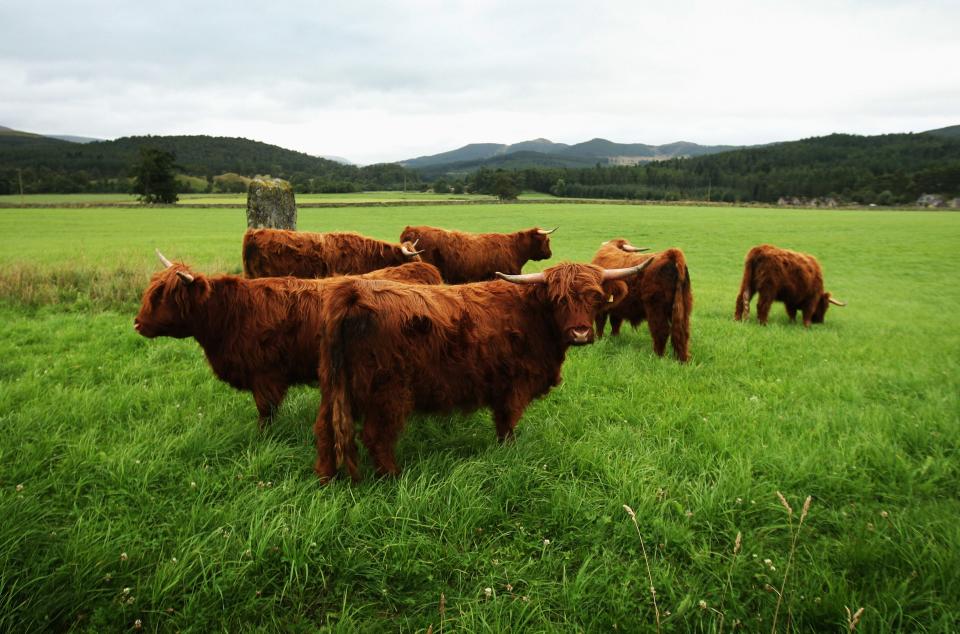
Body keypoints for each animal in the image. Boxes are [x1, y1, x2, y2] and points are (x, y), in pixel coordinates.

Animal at [135, 249, 442, 428]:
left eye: (163, 296)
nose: (137, 323)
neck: (231, 314)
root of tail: (422, 268)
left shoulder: (265, 375)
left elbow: (265, 411)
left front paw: (262, 437)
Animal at [316, 260, 652, 482]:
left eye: (595, 297)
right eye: (559, 299)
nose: (580, 333)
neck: (535, 315)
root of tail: (354, 293)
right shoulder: (514, 386)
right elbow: (507, 424)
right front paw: (509, 452)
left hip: (335, 386)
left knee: (325, 429)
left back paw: (327, 478)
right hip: (388, 391)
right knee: (376, 437)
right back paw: (394, 477)